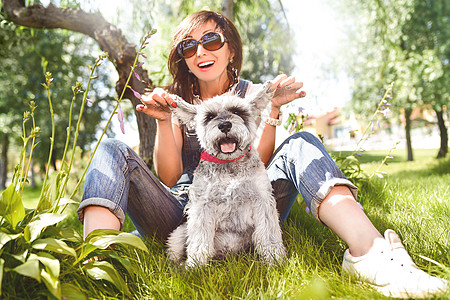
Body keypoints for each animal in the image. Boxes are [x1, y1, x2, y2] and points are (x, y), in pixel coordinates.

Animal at [167, 81, 286, 266]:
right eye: (209, 116)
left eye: (237, 111)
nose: (224, 125)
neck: (229, 164)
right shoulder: (202, 206)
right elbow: (199, 239)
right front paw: (196, 265)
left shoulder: (262, 200)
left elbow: (269, 233)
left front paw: (274, 259)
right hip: (178, 234)